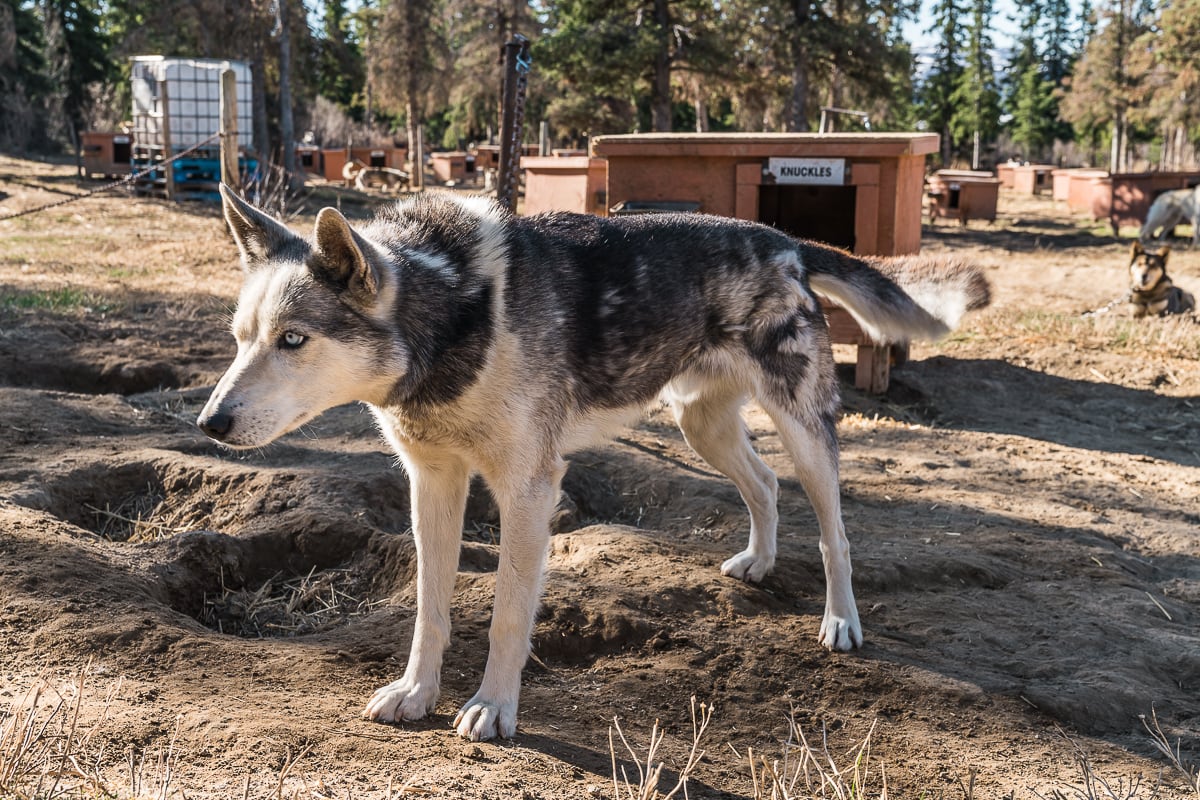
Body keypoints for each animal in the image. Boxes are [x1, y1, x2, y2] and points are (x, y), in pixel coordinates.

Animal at [199, 184, 993, 743]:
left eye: (294, 339)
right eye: (240, 337)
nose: (210, 423)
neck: (455, 315)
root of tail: (785, 242)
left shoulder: (526, 491)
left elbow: (507, 618)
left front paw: (493, 707)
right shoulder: (434, 484)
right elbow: (431, 608)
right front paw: (417, 692)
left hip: (802, 428)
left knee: (835, 534)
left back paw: (840, 622)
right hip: (701, 426)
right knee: (764, 485)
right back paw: (760, 563)